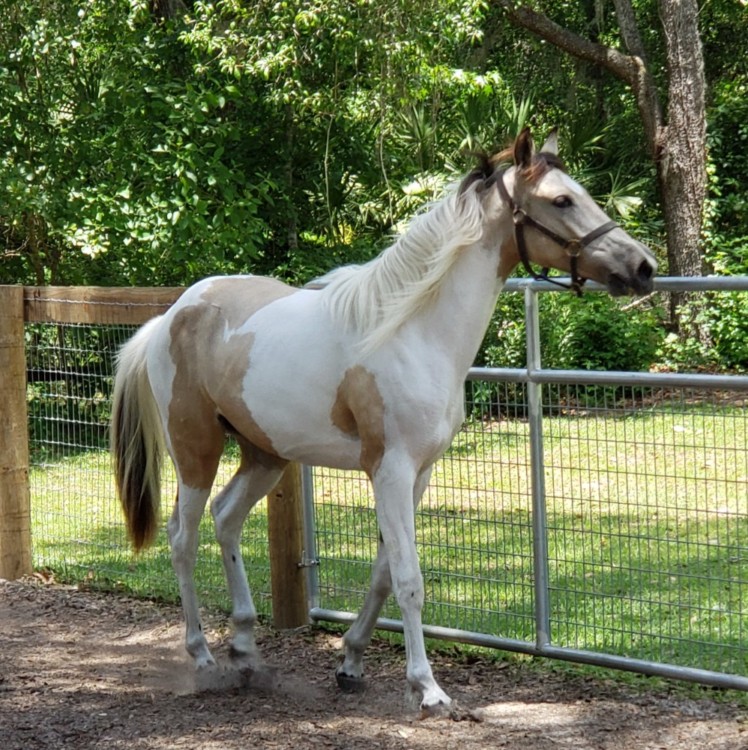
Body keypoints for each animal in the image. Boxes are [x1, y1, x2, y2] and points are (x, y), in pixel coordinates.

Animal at [111, 128, 656, 714]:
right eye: (561, 200)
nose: (643, 267)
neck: (414, 332)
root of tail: (172, 315)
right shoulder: (390, 471)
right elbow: (409, 579)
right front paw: (428, 688)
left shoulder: (418, 474)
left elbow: (382, 575)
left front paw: (350, 663)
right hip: (197, 450)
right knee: (182, 538)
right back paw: (203, 657)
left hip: (266, 455)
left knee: (227, 517)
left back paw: (245, 647)